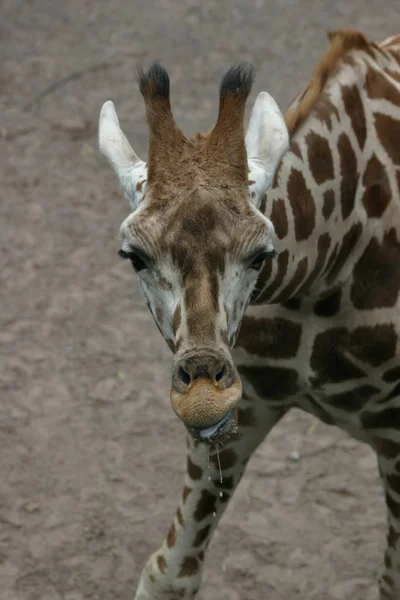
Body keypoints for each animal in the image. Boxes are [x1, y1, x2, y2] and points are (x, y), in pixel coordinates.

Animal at [98, 29, 400, 600]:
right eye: (133, 256)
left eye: (262, 254)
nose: (202, 396)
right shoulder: (250, 406)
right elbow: (170, 572)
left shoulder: (396, 440)